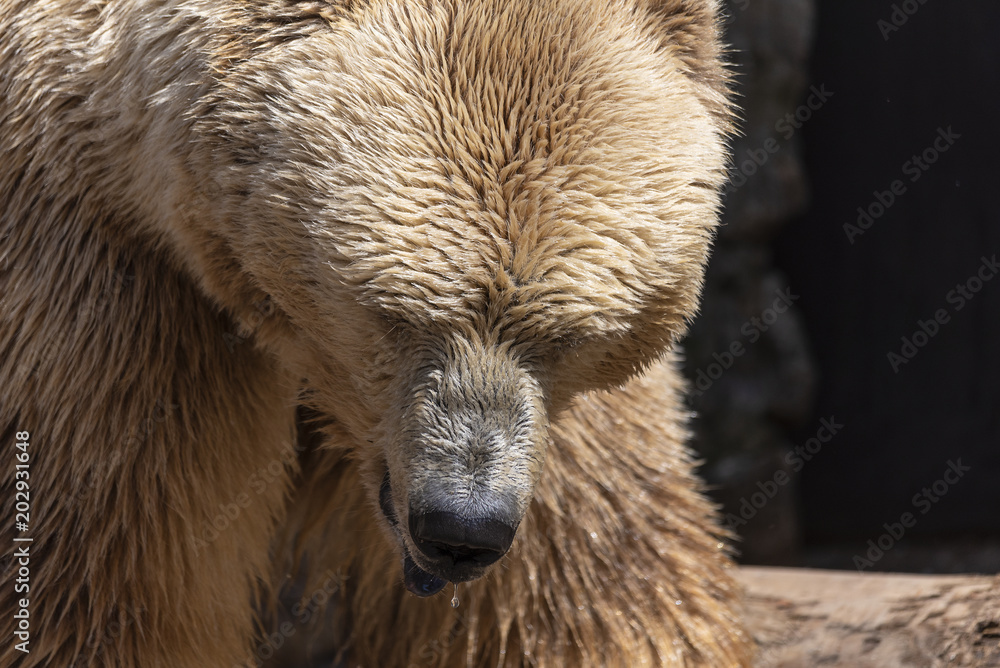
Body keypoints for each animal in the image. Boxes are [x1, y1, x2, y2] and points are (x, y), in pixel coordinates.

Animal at [0, 1, 750, 666]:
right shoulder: (111, 287)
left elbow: (582, 580)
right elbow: (115, 576)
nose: (462, 527)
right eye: (391, 314)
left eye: (568, 337)